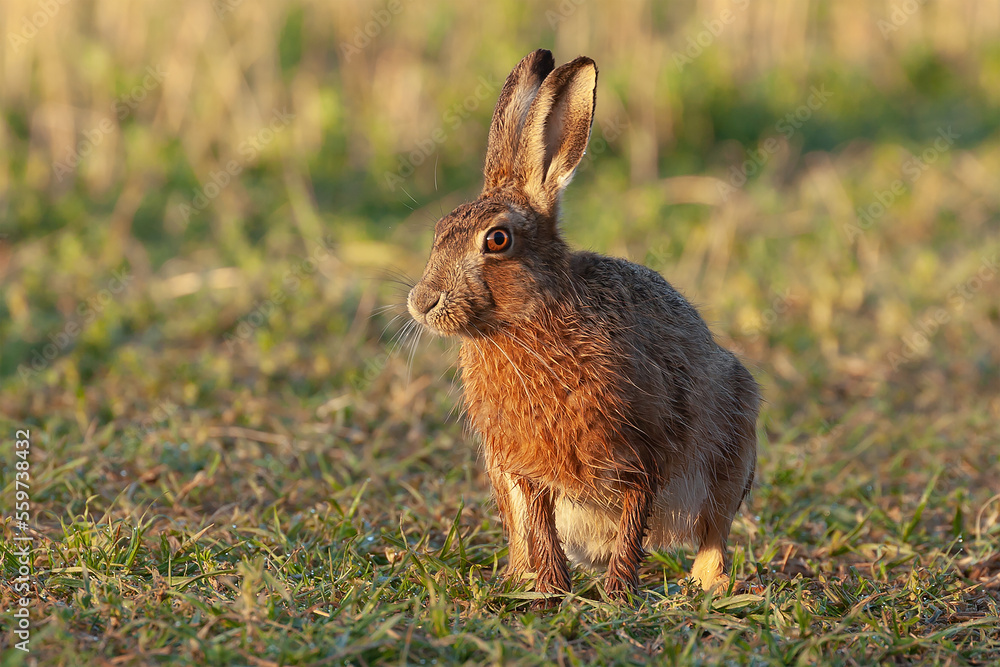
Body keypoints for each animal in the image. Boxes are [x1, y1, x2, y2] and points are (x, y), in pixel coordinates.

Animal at [406, 49, 760, 603]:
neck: (526, 323)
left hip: (734, 448)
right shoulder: (522, 467)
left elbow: (633, 522)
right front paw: (551, 590)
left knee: (712, 531)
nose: (422, 303)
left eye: (498, 240)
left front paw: (617, 595)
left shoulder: (643, 450)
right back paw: (517, 578)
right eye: (441, 230)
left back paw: (713, 586)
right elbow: (540, 525)